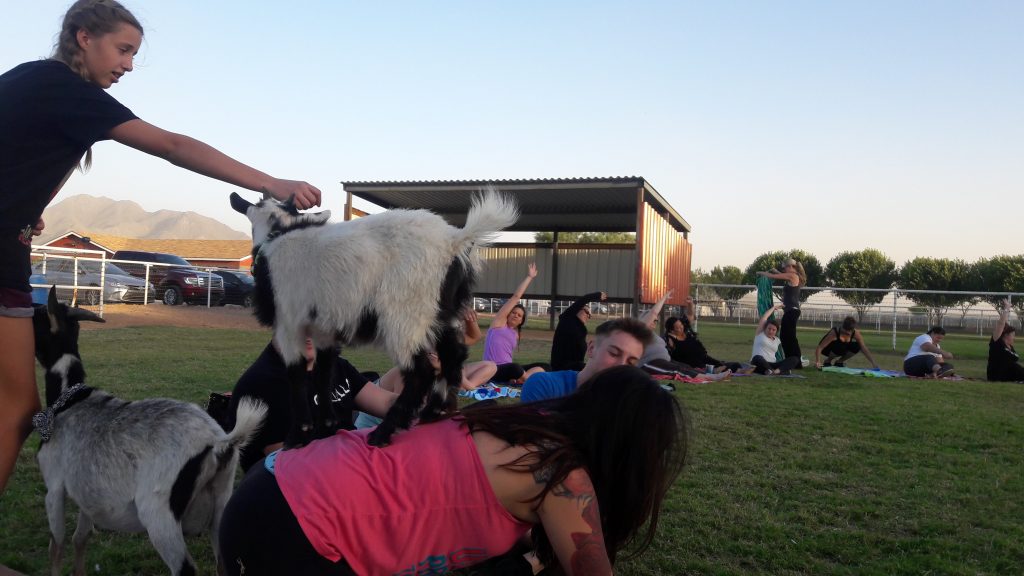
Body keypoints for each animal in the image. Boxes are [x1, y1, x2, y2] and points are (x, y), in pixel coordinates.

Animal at [33, 286, 268, 573]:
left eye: (37, 318)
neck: (68, 398)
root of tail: (219, 443)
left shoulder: (54, 486)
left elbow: (56, 546)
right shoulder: (85, 493)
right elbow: (81, 539)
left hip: (159, 514)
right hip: (221, 504)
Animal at [234, 188, 520, 444]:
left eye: (256, 206)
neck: (277, 235)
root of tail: (455, 240)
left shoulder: (289, 323)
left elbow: (296, 374)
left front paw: (297, 436)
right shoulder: (323, 328)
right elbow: (324, 372)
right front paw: (326, 426)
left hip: (404, 315)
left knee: (421, 372)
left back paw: (382, 433)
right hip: (440, 315)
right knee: (453, 356)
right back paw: (432, 412)